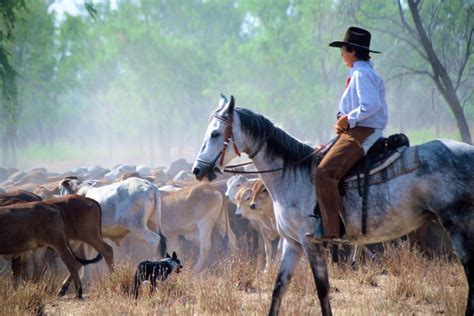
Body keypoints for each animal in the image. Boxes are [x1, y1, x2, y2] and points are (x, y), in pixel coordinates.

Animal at [192, 95, 474, 314]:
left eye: (215, 133)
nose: (197, 169)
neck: (293, 173)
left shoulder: (311, 243)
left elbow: (323, 291)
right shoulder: (292, 243)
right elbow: (278, 289)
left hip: (459, 226)